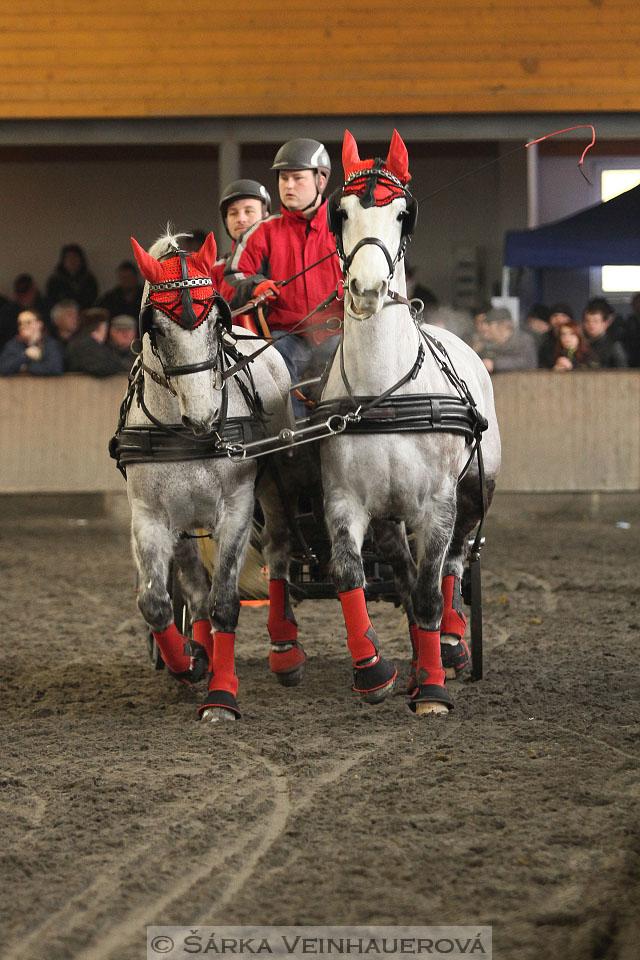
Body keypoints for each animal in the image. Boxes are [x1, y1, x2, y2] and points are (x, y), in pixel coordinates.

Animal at [121, 227, 294, 720]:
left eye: (215, 322)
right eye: (156, 329)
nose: (202, 417)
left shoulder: (235, 510)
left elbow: (225, 604)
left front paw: (221, 696)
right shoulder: (151, 516)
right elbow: (157, 603)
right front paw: (190, 662)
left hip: (272, 487)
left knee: (278, 552)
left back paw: (285, 650)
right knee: (194, 592)